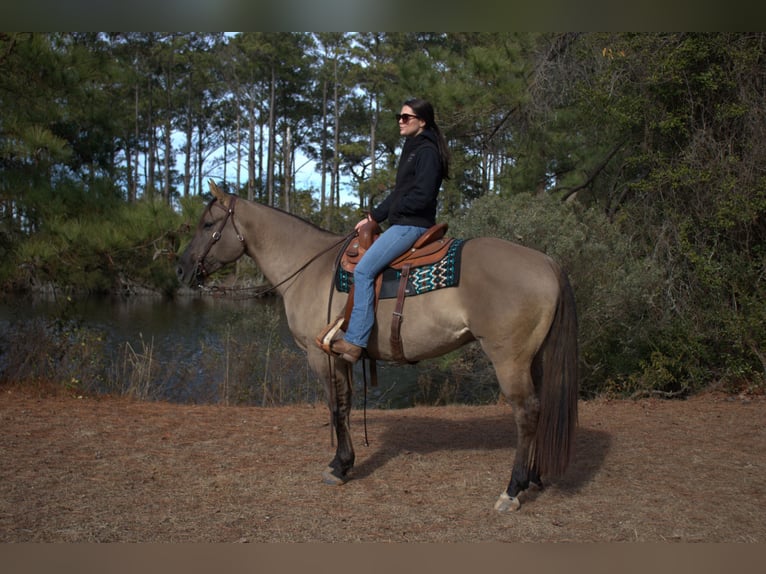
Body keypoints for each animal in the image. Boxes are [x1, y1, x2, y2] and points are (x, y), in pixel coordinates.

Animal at [176, 180, 579, 513]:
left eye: (208, 225)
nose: (181, 270)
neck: (311, 268)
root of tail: (546, 261)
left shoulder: (321, 356)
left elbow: (336, 408)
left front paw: (339, 466)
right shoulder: (343, 357)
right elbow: (347, 406)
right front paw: (346, 461)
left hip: (509, 359)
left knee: (526, 413)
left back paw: (512, 490)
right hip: (534, 359)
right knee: (540, 409)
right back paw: (534, 478)